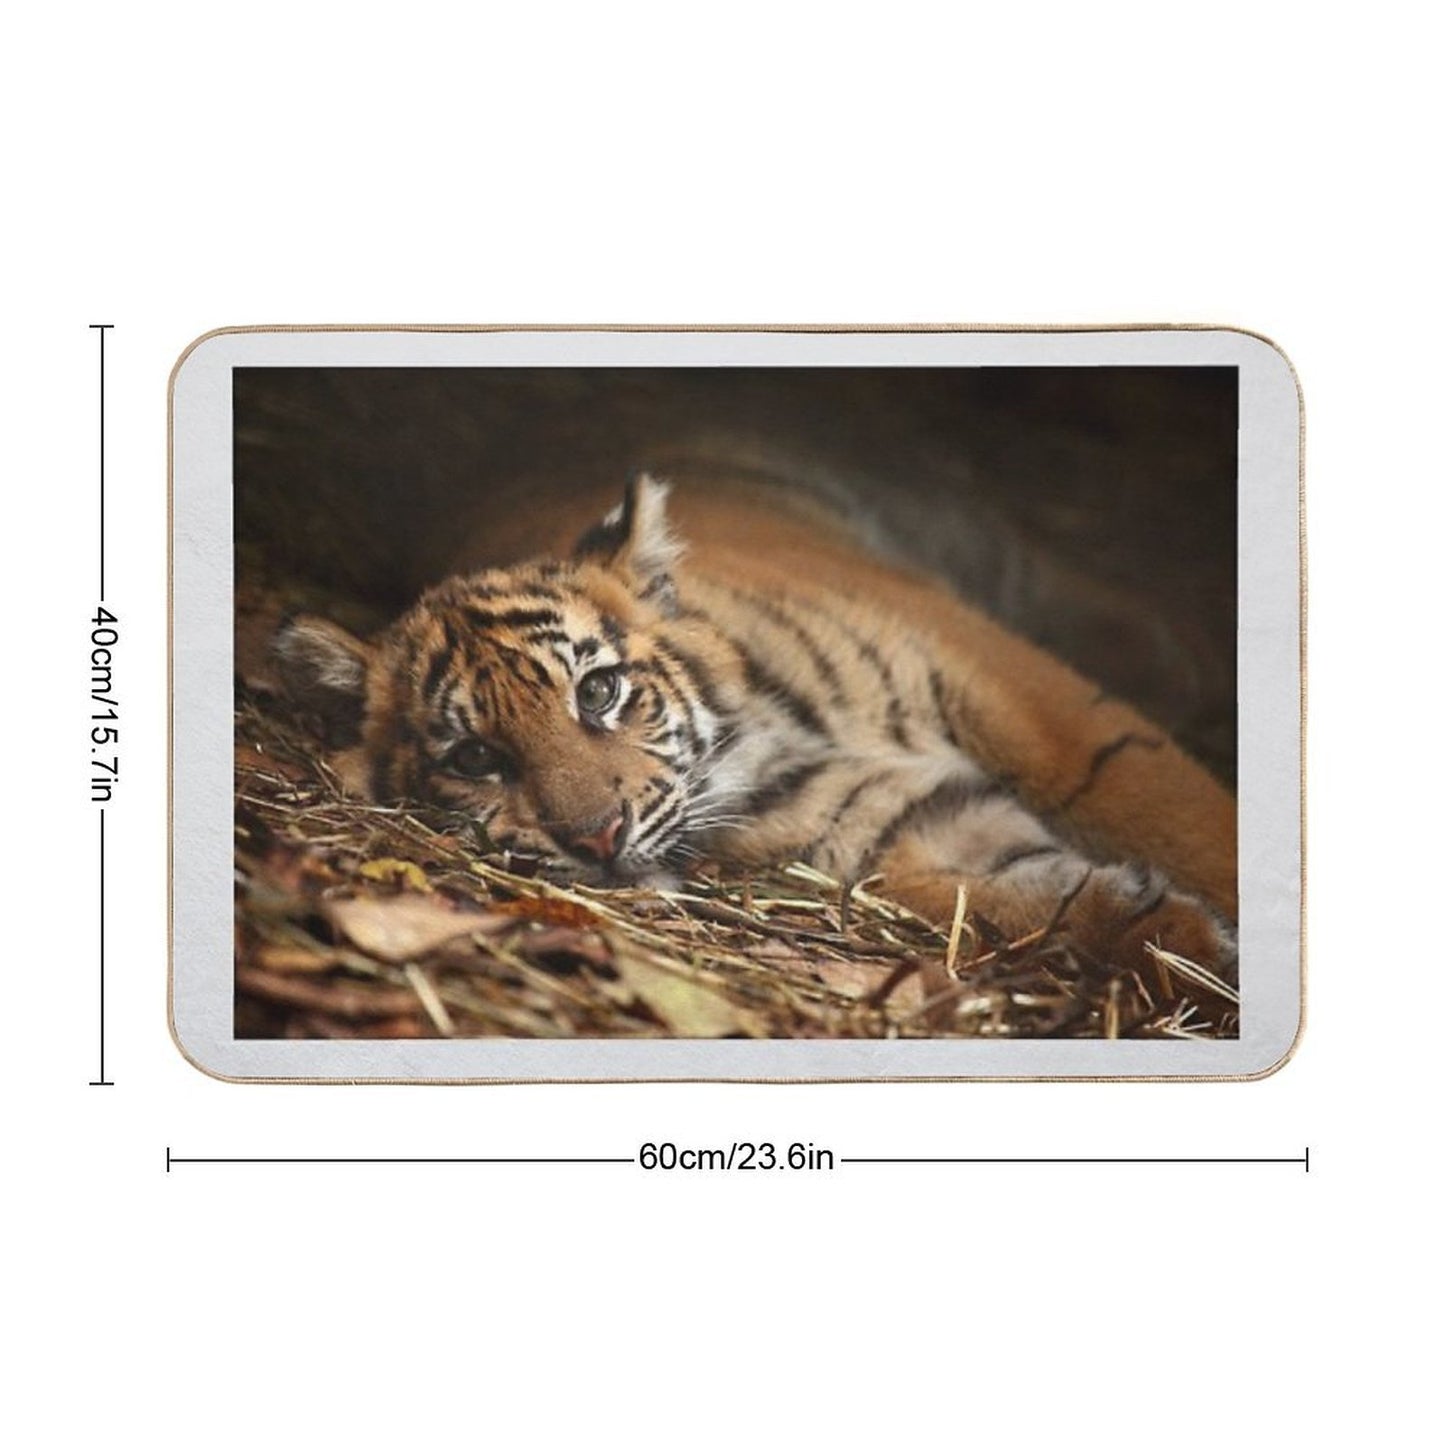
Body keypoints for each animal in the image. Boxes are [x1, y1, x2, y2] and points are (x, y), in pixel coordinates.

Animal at [273, 472, 1238, 983]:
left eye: (598, 691)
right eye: (475, 757)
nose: (596, 840)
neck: (763, 746)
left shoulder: (1018, 694)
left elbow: (1180, 816)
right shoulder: (903, 830)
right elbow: (1027, 897)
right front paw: (1189, 945)